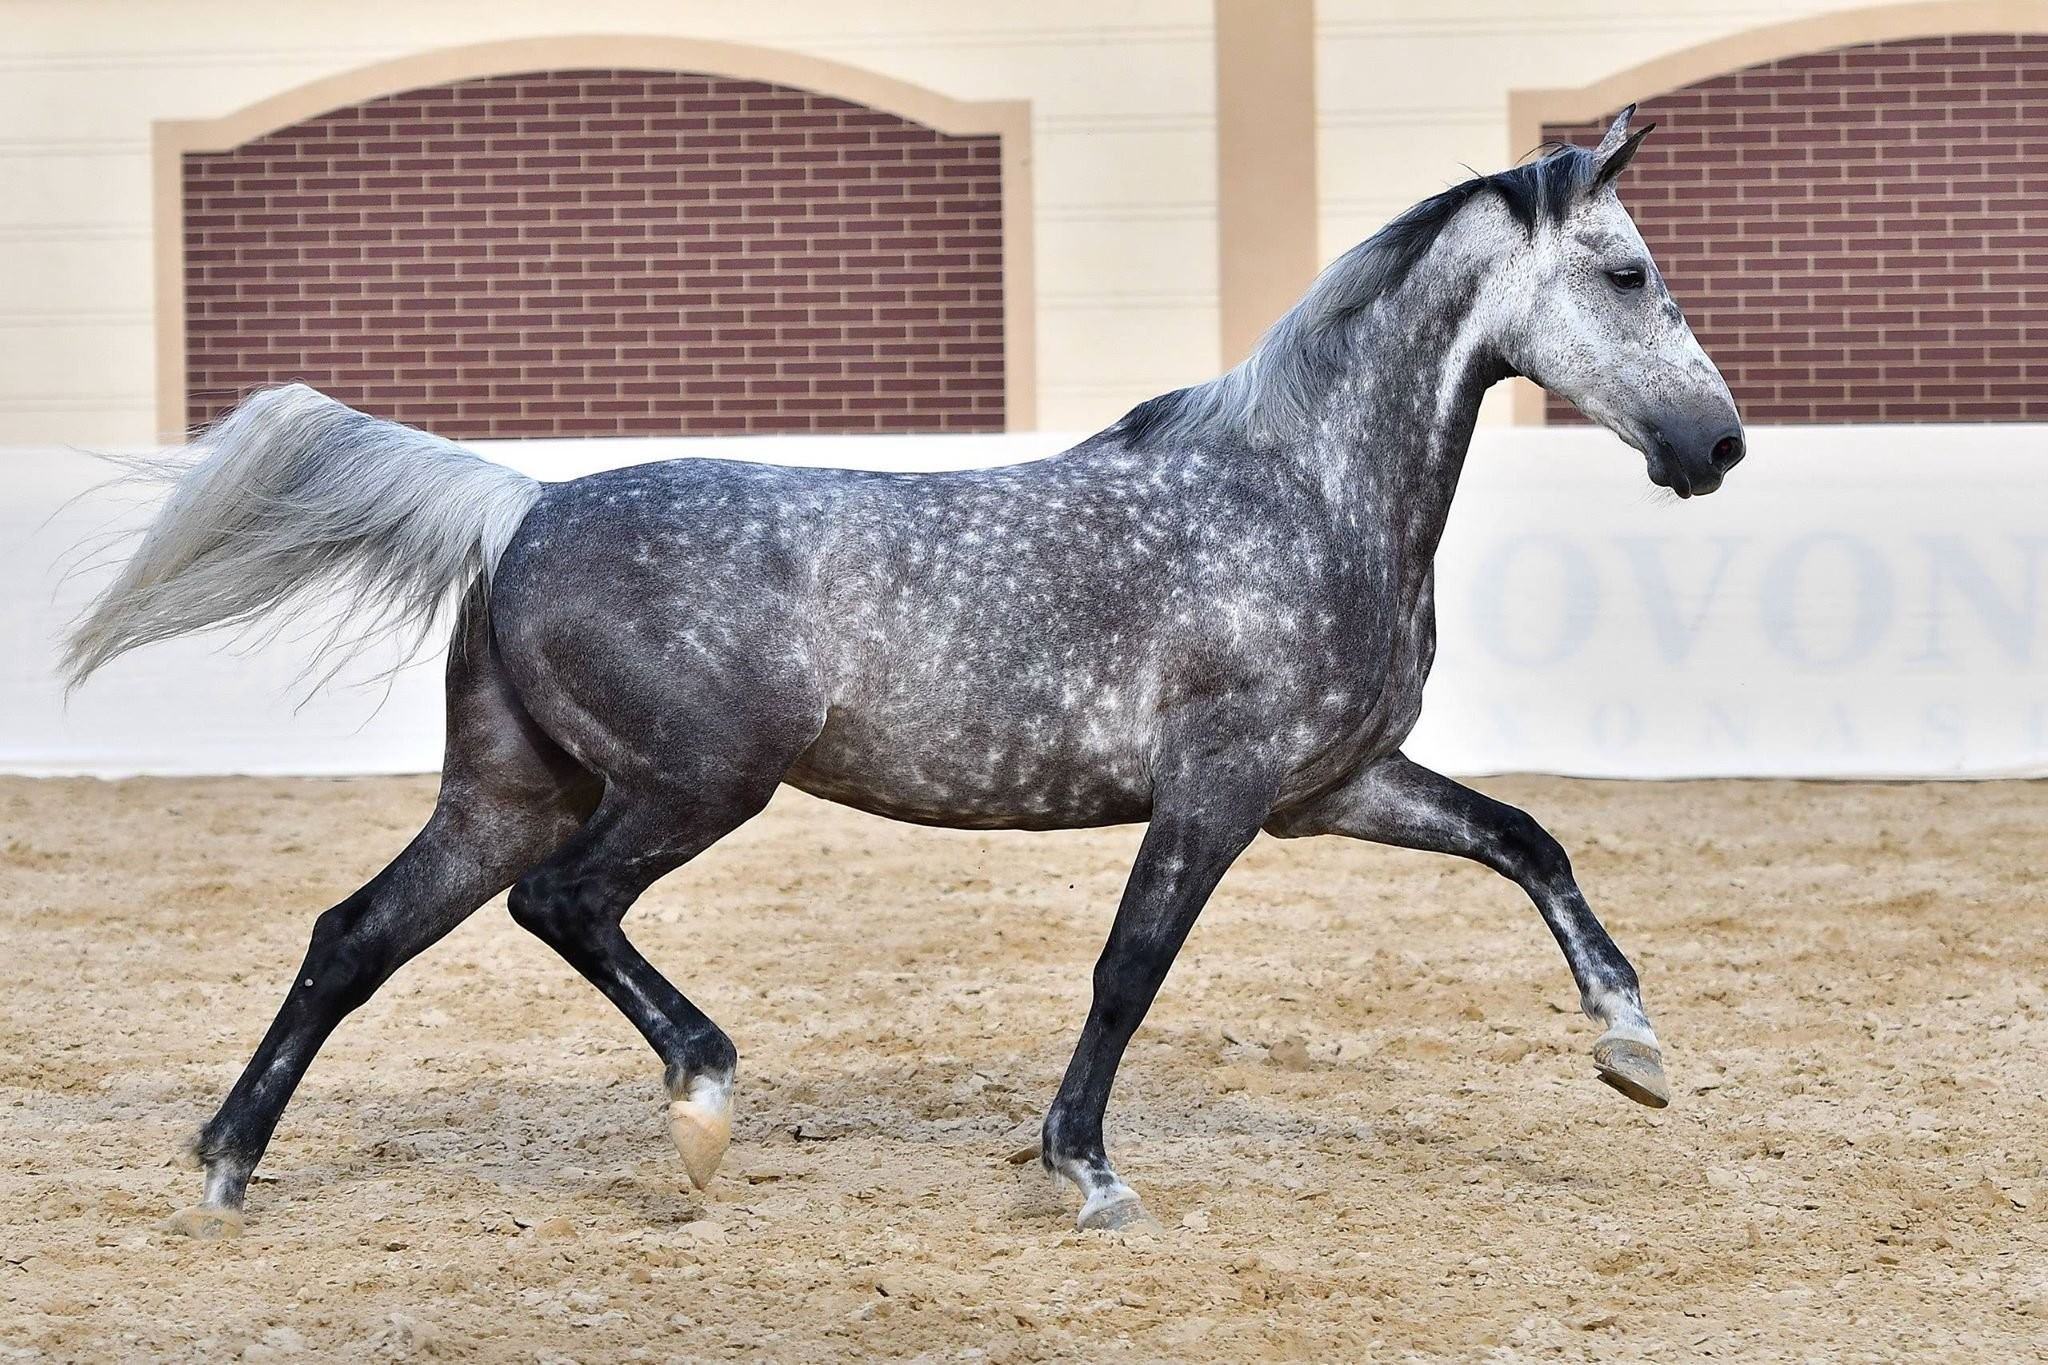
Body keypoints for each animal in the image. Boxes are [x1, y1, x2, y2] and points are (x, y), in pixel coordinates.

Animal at [68, 106, 1744, 1236]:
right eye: (1625, 270)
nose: (1715, 447)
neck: (1298, 494)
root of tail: (524, 505)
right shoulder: (1216, 792)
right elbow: (1131, 967)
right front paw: (1086, 1171)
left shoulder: (1329, 787)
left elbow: (1529, 840)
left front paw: (1635, 1050)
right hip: (688, 787)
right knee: (563, 908)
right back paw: (701, 1101)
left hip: (507, 791)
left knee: (353, 935)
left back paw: (225, 1165)